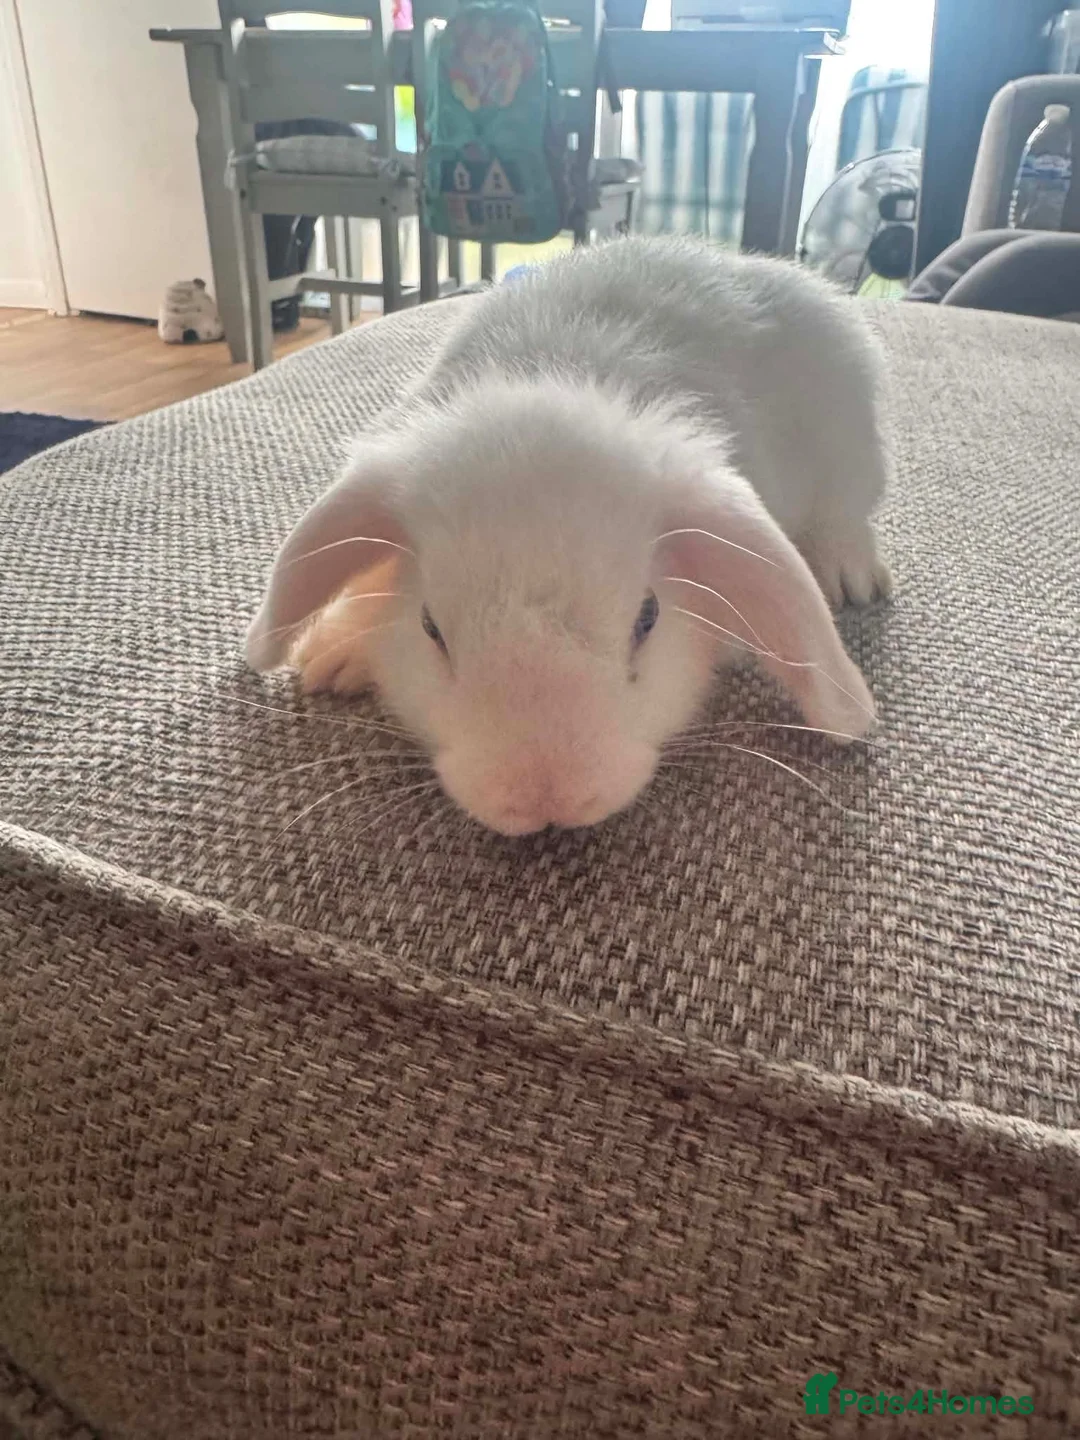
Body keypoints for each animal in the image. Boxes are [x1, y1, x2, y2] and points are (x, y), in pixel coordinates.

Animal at [246, 236, 892, 836]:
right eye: (430, 628)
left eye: (648, 619)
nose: (547, 801)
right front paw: (335, 657)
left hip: (852, 436)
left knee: (846, 515)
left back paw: (851, 578)